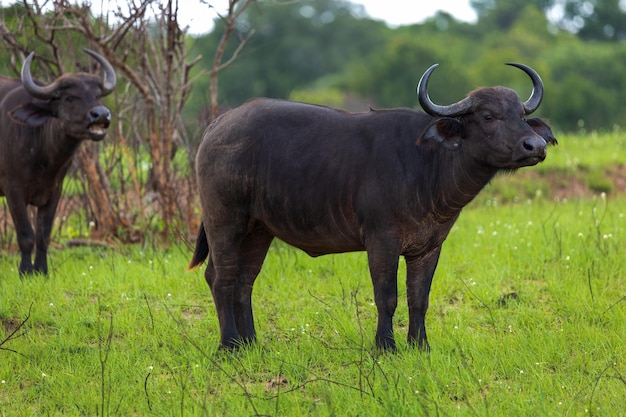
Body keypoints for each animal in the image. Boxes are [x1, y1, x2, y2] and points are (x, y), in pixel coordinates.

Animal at [0, 48, 116, 274]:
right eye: (70, 97)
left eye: (97, 95)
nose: (101, 114)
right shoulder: (13, 189)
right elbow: (26, 235)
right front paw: (25, 271)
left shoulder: (54, 191)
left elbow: (43, 235)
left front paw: (41, 271)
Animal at [186, 63, 556, 350]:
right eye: (488, 116)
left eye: (522, 115)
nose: (535, 145)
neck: (427, 164)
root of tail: (217, 126)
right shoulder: (382, 240)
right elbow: (386, 295)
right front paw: (386, 346)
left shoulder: (429, 246)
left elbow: (419, 298)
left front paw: (420, 346)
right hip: (225, 219)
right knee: (220, 276)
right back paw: (229, 345)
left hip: (259, 229)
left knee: (244, 280)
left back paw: (251, 342)